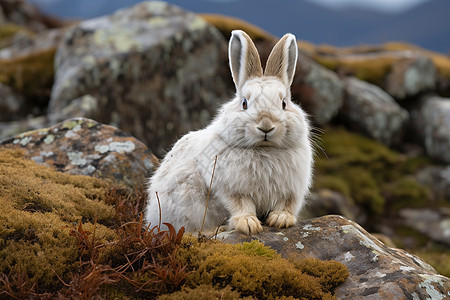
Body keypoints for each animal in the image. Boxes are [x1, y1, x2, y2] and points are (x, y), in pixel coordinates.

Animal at [144, 29, 312, 234]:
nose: (266, 125)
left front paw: (281, 220)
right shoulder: (231, 190)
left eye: (284, 104)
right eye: (244, 103)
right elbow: (241, 205)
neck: (265, 149)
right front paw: (248, 224)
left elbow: (285, 205)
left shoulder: (291, 191)